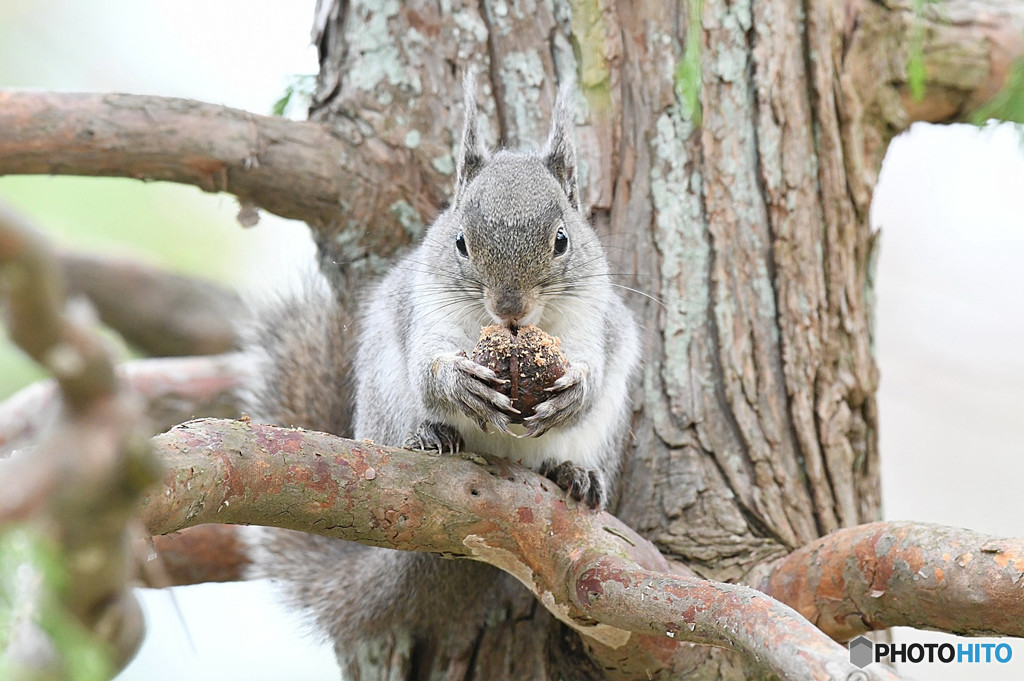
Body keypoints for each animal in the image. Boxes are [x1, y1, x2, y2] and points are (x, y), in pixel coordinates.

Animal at [240, 78, 638, 675]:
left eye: (563, 240)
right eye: (461, 243)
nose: (509, 307)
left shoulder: (593, 319)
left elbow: (593, 361)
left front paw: (574, 391)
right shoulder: (426, 309)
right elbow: (427, 367)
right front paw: (457, 384)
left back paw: (575, 475)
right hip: (382, 397)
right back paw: (429, 435)